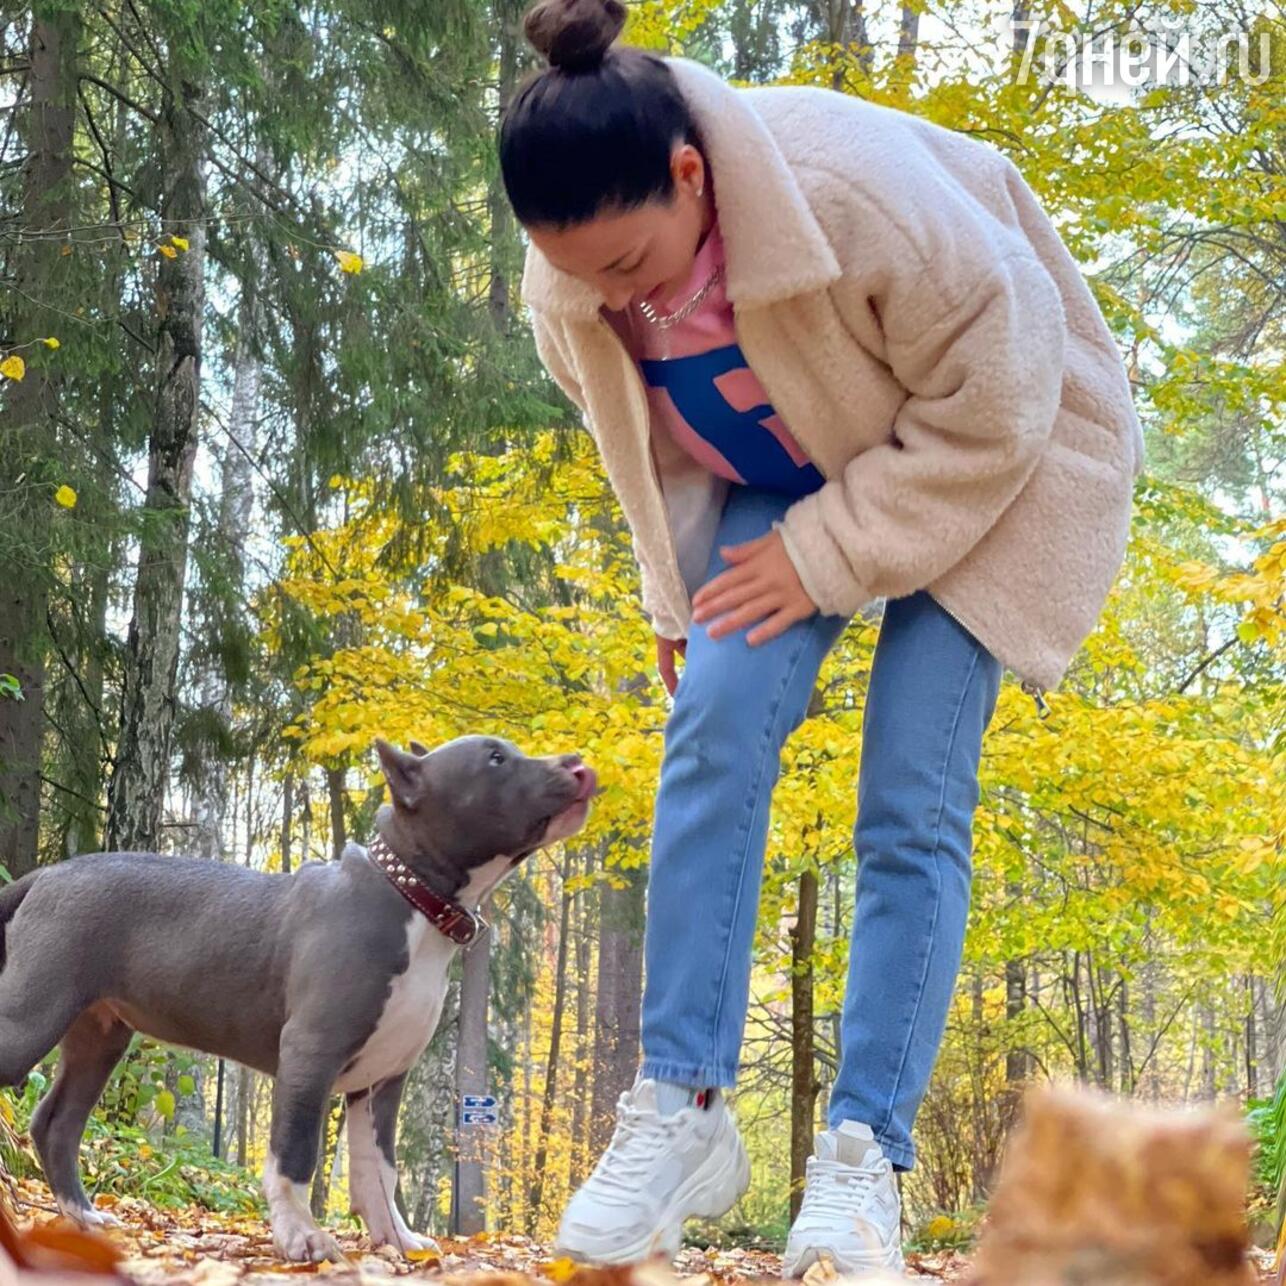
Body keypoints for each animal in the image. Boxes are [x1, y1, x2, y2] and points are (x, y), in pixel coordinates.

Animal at [0, 740, 594, 1260]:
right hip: (32, 1016)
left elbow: (378, 1168)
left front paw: (396, 1239)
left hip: (99, 1035)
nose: (580, 765)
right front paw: (301, 1237)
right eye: (495, 759)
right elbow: (296, 1154)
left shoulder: (383, 1079)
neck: (410, 896)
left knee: (57, 1124)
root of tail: (47, 875)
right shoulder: (311, 1053)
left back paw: (82, 1216)